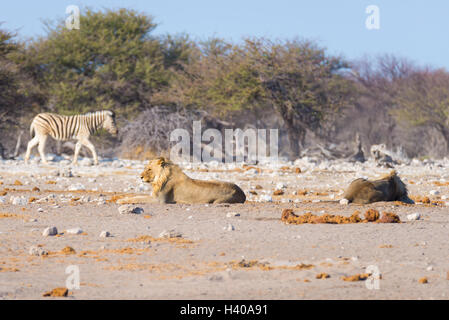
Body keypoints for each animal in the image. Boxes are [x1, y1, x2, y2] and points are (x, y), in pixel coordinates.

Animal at [117, 158, 247, 205]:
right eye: (145, 168)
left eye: (149, 169)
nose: (140, 177)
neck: (159, 178)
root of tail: (243, 193)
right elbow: (135, 196)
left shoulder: (159, 200)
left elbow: (137, 198)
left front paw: (121, 200)